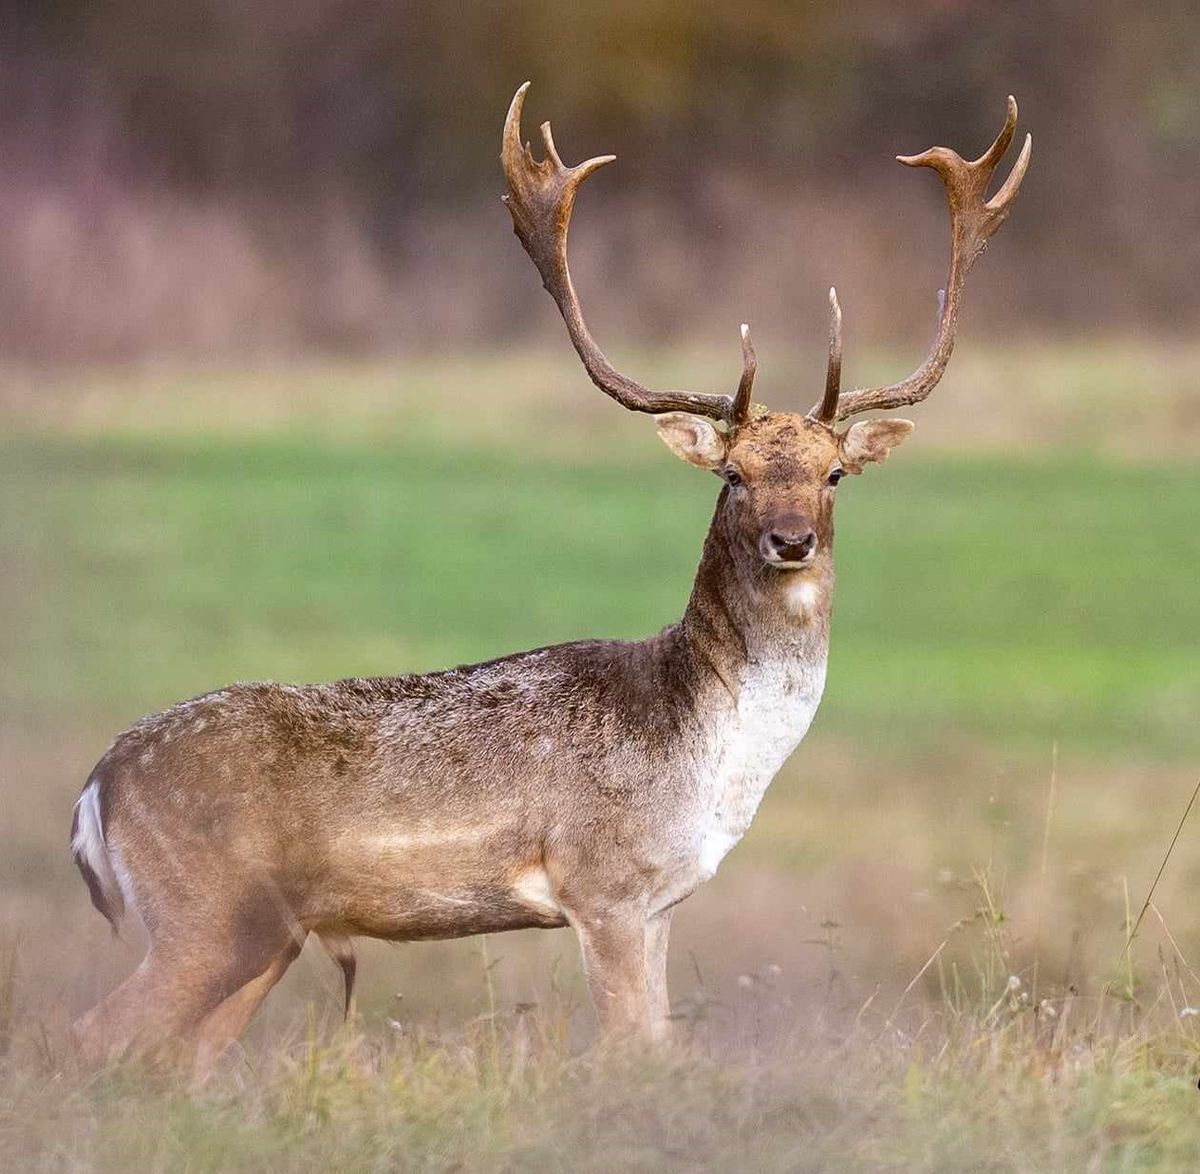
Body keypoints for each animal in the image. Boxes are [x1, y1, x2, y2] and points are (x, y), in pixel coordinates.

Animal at [72, 87, 1032, 1065]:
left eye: (834, 473)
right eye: (733, 474)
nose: (790, 539)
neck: (708, 759)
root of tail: (96, 788)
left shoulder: (661, 903)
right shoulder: (602, 885)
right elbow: (628, 1049)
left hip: (269, 935)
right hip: (212, 912)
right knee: (93, 1035)